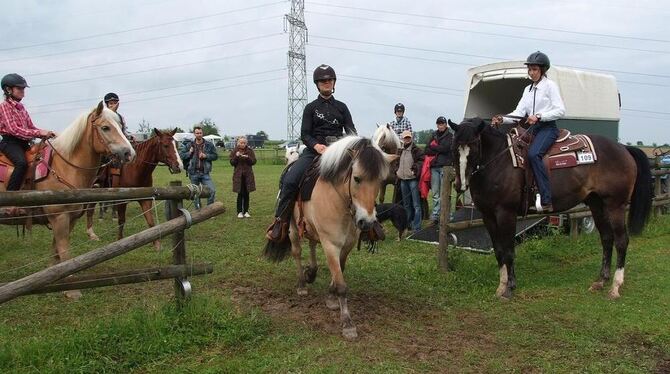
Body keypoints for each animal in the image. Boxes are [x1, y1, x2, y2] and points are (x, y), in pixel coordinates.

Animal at [266, 137, 396, 338]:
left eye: (380, 180)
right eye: (356, 178)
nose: (366, 222)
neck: (339, 199)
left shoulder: (347, 246)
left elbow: (338, 273)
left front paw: (331, 297)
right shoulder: (330, 245)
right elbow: (341, 283)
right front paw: (347, 323)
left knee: (311, 245)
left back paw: (311, 272)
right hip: (292, 229)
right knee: (297, 252)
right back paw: (302, 284)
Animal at [448, 118, 652, 300]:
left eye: (474, 148)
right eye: (454, 148)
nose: (460, 185)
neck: (500, 161)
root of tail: (623, 148)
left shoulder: (506, 213)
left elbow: (508, 250)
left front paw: (509, 288)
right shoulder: (488, 215)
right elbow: (498, 250)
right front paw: (501, 287)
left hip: (615, 205)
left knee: (621, 241)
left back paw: (615, 287)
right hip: (597, 204)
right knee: (607, 238)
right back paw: (601, 281)